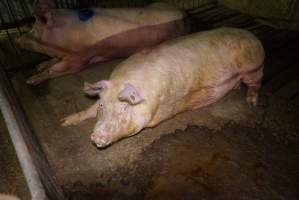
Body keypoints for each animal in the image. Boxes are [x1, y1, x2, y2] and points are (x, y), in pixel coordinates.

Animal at [15, 0, 189, 85]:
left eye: (33, 32)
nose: (18, 40)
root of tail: (182, 11)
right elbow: (51, 62)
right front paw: (39, 66)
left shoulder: (79, 57)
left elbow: (57, 70)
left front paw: (31, 81)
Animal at [60, 27, 264, 148]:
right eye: (103, 105)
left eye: (125, 108)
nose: (97, 137)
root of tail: (252, 35)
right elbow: (89, 110)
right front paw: (64, 122)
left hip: (253, 67)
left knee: (255, 84)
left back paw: (251, 102)